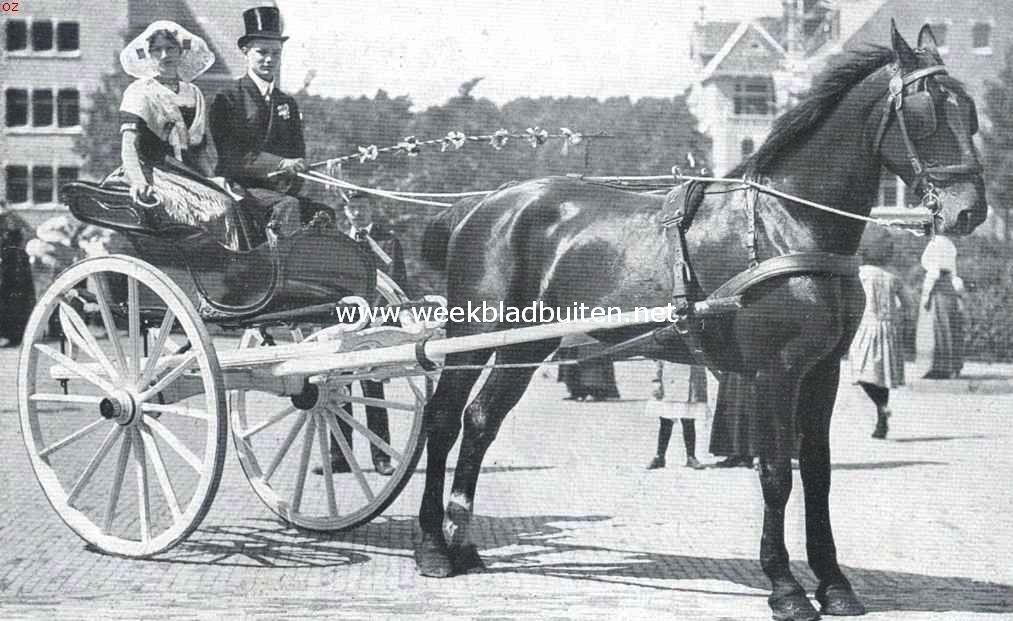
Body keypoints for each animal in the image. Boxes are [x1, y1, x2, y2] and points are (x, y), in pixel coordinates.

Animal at [409, 24, 980, 619]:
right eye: (926, 112)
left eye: (971, 113)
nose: (970, 210)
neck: (787, 224)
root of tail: (481, 205)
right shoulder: (776, 374)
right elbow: (776, 474)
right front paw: (786, 587)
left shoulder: (821, 371)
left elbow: (817, 473)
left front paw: (835, 584)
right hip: (474, 336)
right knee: (443, 420)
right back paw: (432, 547)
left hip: (524, 348)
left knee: (480, 422)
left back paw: (463, 543)